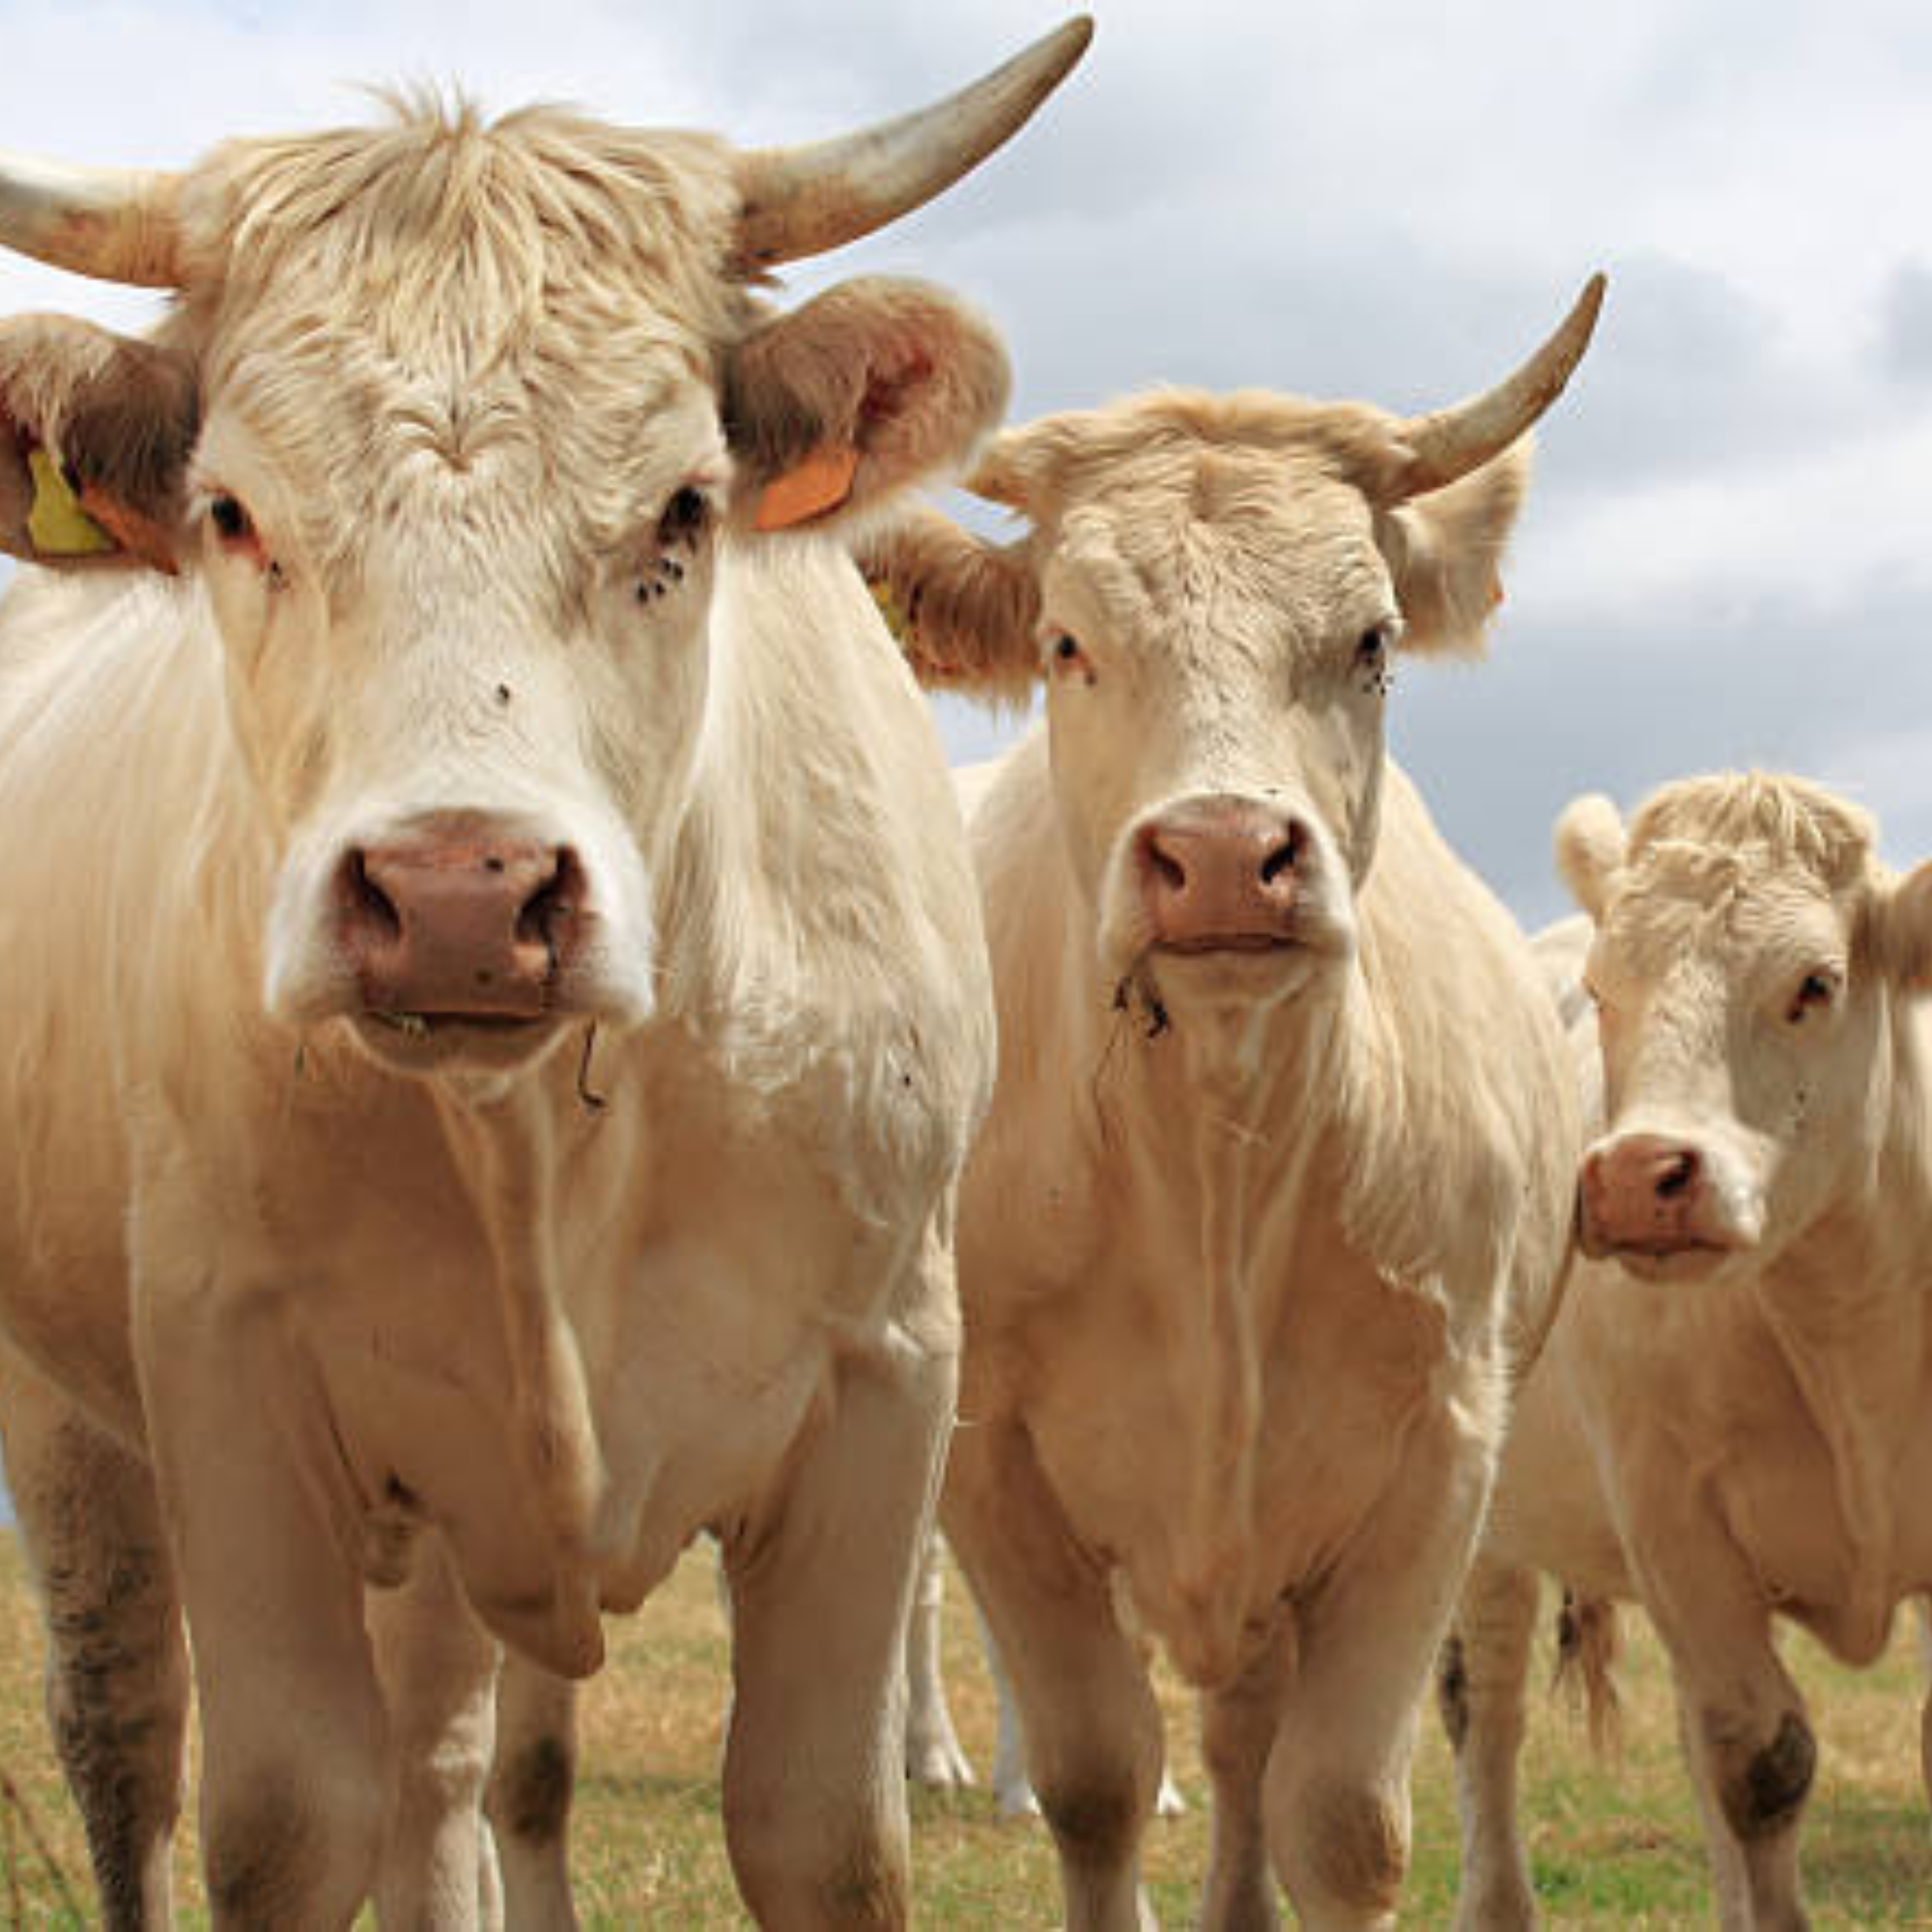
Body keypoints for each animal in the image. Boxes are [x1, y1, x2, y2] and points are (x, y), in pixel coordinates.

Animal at [0, 19, 1089, 1927]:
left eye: (684, 509)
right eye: (232, 513)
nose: (456, 894)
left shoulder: (885, 1387)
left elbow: (818, 1829)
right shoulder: (226, 1386)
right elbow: (286, 1821)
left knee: (436, 1766)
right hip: (78, 1427)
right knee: (125, 1734)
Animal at [854, 278, 1602, 1929]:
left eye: (1372, 640)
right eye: (1067, 641)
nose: (1216, 858)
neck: (1216, 1152)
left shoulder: (1437, 1463)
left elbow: (1343, 1819)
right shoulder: (993, 1460)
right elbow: (1094, 1778)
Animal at [1441, 771, 1932, 1931]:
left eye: (1814, 983)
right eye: (1602, 985)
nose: (1633, 1174)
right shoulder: (1674, 1516)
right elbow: (1760, 1760)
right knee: (1485, 1704)